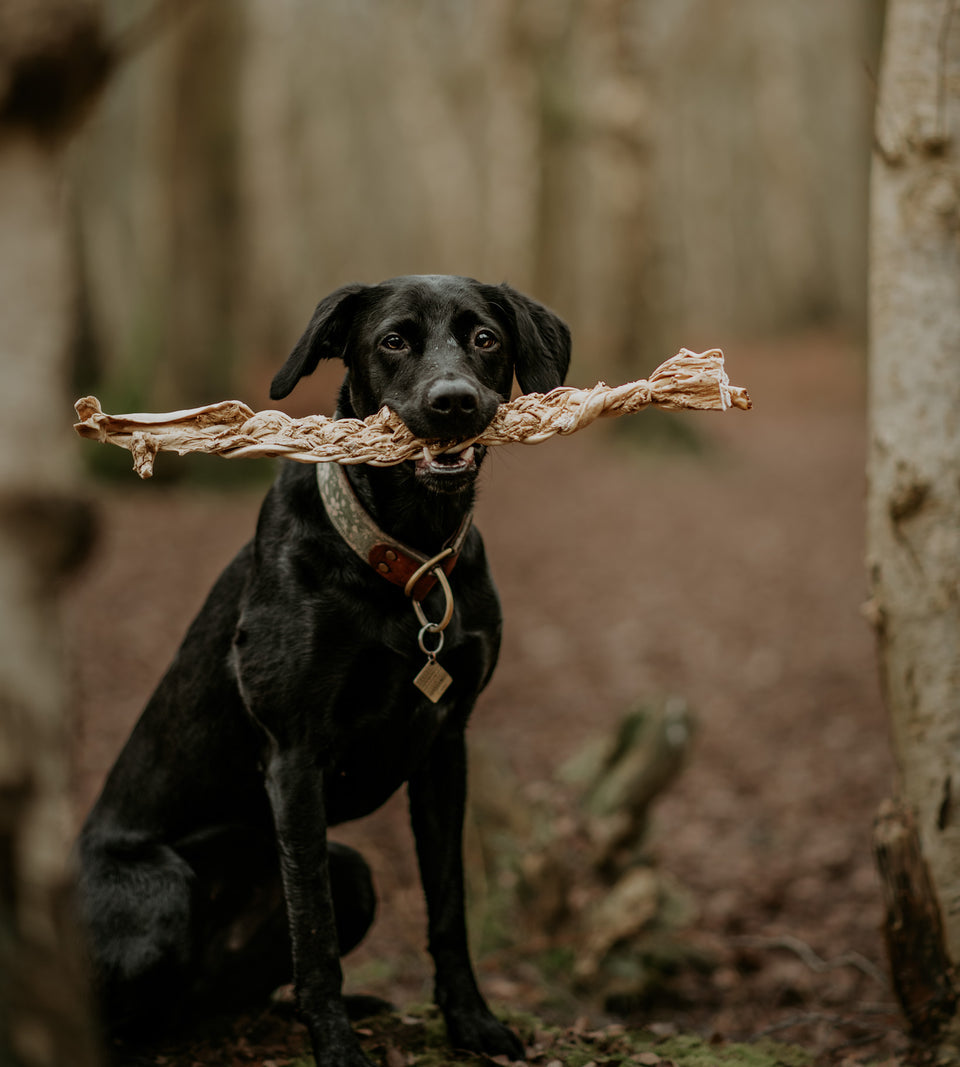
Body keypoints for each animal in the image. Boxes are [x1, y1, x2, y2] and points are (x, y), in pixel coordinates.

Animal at [78, 275, 571, 1067]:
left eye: (485, 338)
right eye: (393, 341)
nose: (454, 402)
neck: (410, 557)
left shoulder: (447, 747)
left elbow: (448, 904)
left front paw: (470, 1021)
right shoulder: (294, 752)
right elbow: (315, 930)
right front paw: (337, 1047)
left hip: (357, 876)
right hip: (158, 898)